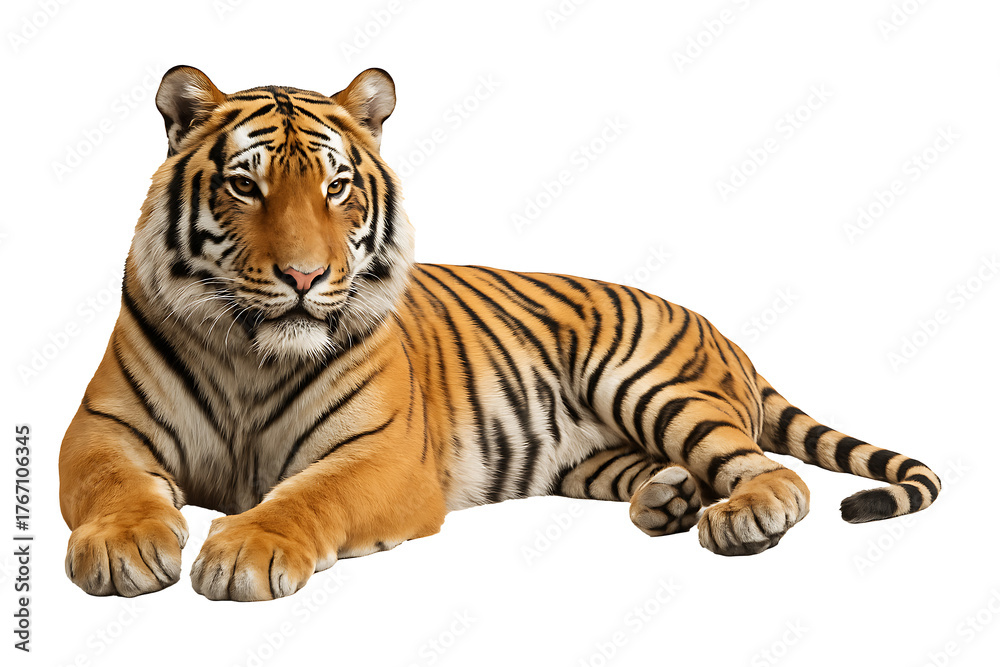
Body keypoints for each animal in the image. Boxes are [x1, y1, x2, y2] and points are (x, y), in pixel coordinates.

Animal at [59, 66, 942, 601]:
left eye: (337, 187)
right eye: (246, 187)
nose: (305, 278)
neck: (252, 354)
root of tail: (726, 333)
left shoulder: (381, 454)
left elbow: (307, 494)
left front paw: (248, 549)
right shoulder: (102, 428)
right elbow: (113, 484)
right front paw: (125, 545)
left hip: (651, 384)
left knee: (773, 472)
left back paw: (739, 520)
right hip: (595, 456)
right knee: (682, 471)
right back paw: (669, 499)